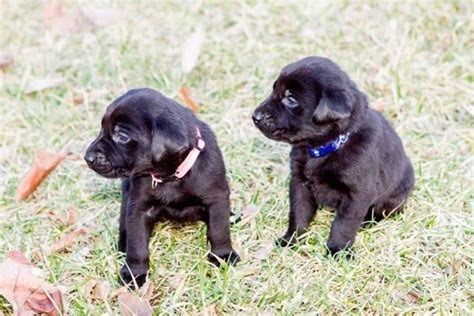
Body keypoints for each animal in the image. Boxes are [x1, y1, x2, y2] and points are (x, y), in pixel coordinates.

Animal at [84, 87, 239, 286]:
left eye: (122, 136)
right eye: (102, 127)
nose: (87, 157)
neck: (172, 176)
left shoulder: (216, 198)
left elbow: (219, 230)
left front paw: (223, 256)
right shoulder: (139, 208)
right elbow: (137, 245)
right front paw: (134, 274)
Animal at [252, 56, 414, 254]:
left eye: (290, 99)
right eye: (274, 89)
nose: (255, 116)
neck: (325, 147)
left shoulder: (357, 194)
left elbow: (343, 224)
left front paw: (338, 250)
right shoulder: (299, 183)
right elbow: (298, 213)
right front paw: (291, 240)